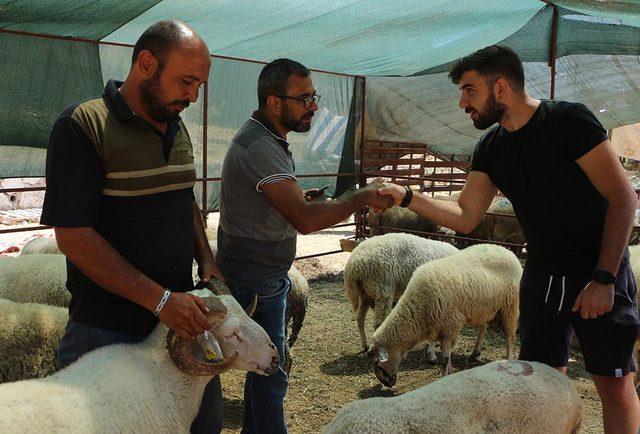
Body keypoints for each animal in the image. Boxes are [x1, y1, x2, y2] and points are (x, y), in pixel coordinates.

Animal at [368, 244, 524, 384]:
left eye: (378, 365)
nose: (388, 384)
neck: (418, 309)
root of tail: (509, 252)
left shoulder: (451, 327)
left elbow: (445, 360)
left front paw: (444, 376)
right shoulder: (439, 326)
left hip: (510, 308)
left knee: (510, 339)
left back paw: (508, 361)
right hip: (484, 309)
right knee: (483, 328)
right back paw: (474, 354)